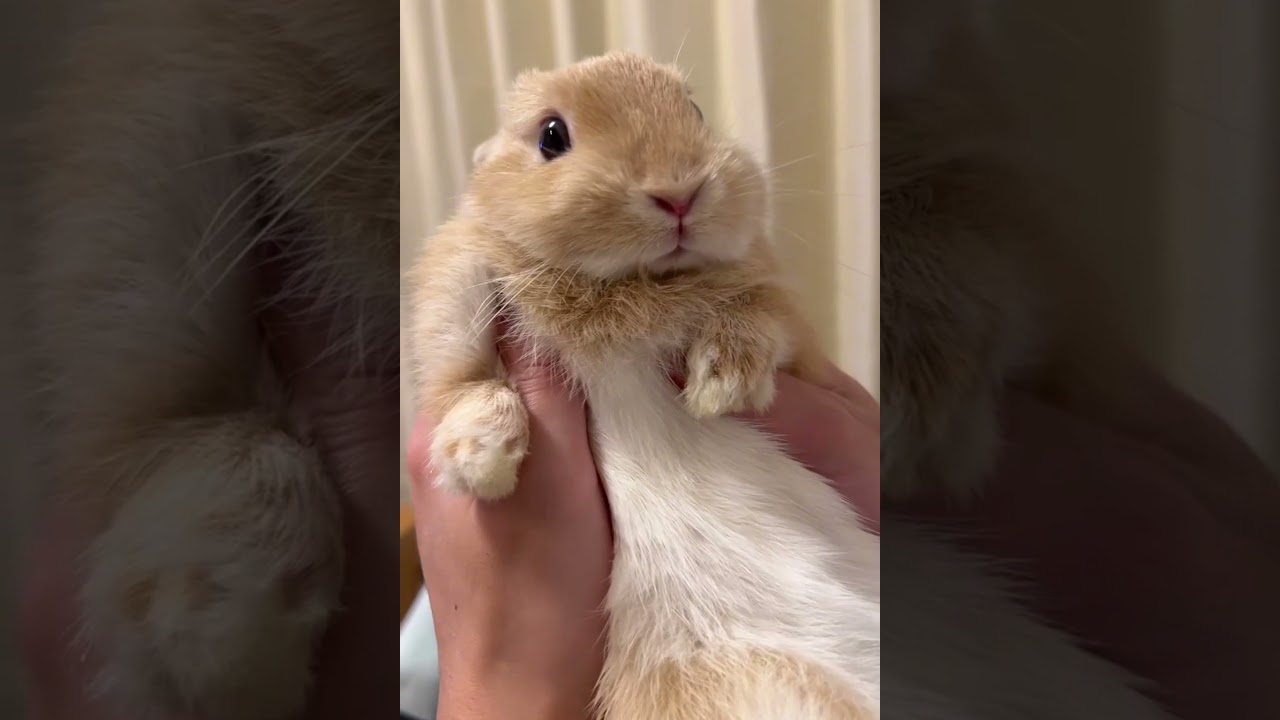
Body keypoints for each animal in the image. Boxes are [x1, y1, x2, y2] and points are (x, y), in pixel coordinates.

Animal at [406, 52, 881, 720]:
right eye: (551, 136)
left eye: (696, 111)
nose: (679, 193)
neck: (633, 283)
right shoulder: (457, 287)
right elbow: (465, 380)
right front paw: (483, 461)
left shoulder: (790, 328)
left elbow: (760, 315)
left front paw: (721, 382)